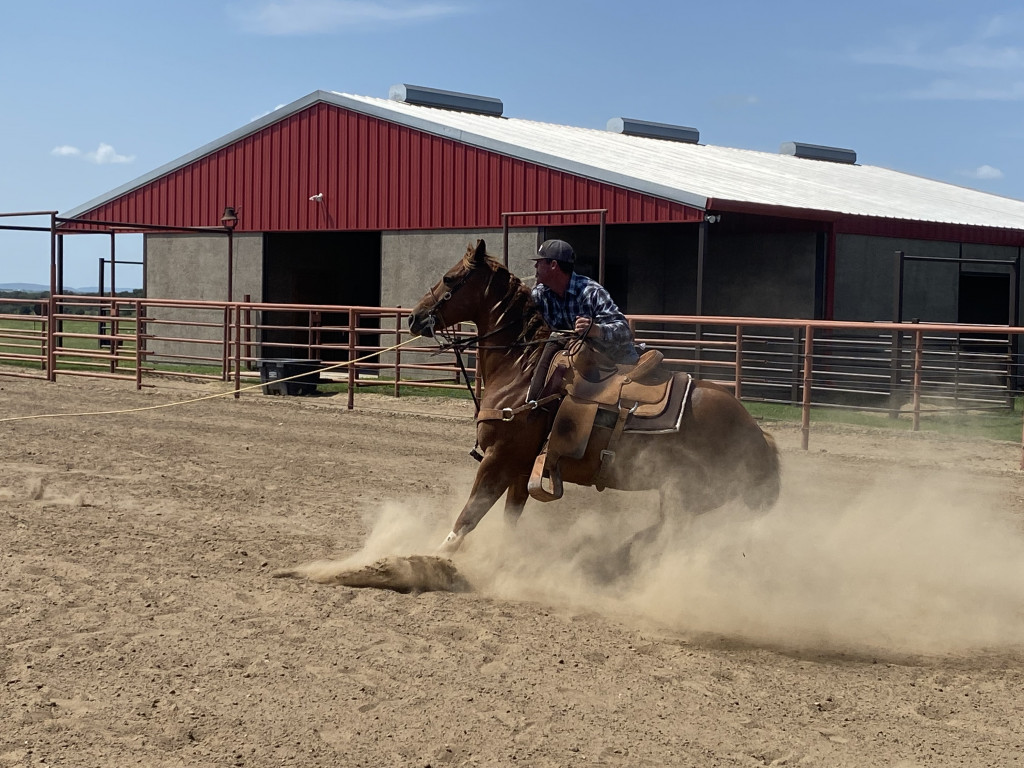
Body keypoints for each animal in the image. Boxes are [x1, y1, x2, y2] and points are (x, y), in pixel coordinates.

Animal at [409, 239, 780, 556]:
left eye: (449, 277)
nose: (414, 317)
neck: (522, 369)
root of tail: (758, 434)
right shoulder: (521, 465)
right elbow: (508, 517)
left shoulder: (499, 457)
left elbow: (468, 516)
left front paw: (430, 560)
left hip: (693, 490)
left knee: (670, 530)